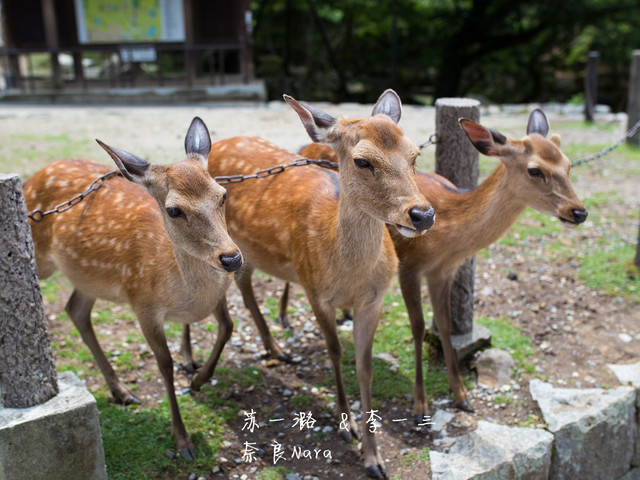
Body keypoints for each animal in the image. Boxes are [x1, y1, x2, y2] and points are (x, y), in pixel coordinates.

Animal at [23, 117, 242, 462]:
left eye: (223, 194)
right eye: (174, 210)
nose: (231, 258)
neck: (187, 294)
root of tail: (37, 174)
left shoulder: (218, 296)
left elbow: (228, 327)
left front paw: (197, 380)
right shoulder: (143, 304)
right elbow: (164, 365)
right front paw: (182, 440)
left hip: (88, 277)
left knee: (76, 310)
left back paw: (122, 391)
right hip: (41, 255)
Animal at [208, 91, 438, 480]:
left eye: (414, 155)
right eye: (362, 161)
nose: (422, 214)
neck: (348, 275)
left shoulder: (373, 300)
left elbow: (365, 366)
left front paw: (374, 458)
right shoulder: (315, 290)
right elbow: (334, 352)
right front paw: (347, 427)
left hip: (248, 252)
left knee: (246, 284)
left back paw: (275, 348)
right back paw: (192, 365)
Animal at [288, 109, 588, 420]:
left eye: (568, 165)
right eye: (535, 170)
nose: (579, 212)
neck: (448, 237)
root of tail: (305, 148)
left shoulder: (444, 271)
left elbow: (444, 325)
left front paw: (461, 395)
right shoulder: (409, 265)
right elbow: (418, 326)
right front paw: (420, 403)